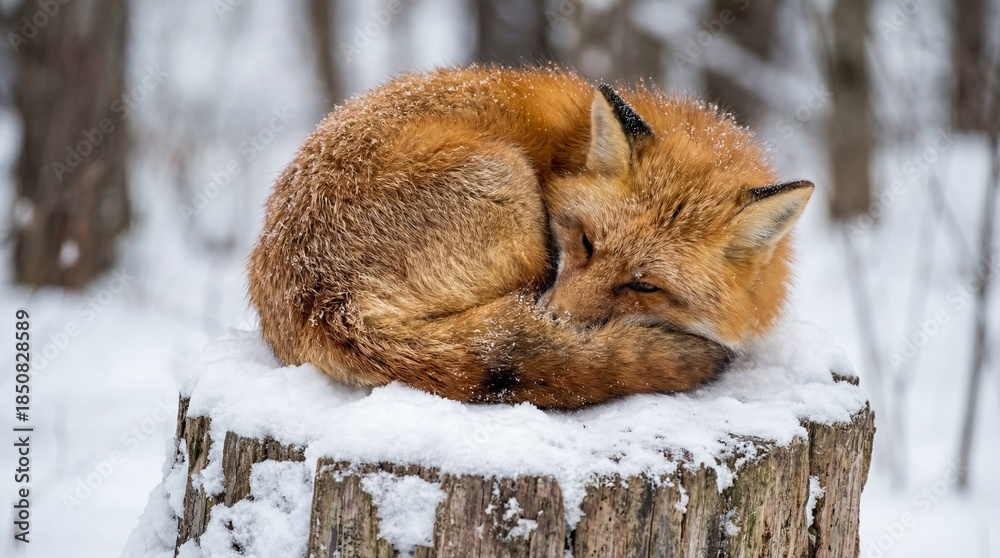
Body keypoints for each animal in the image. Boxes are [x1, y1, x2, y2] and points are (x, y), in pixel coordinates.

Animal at [247, 66, 813, 409]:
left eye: (644, 286)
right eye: (585, 242)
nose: (556, 319)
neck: (569, 150)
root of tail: (325, 302)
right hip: (510, 188)